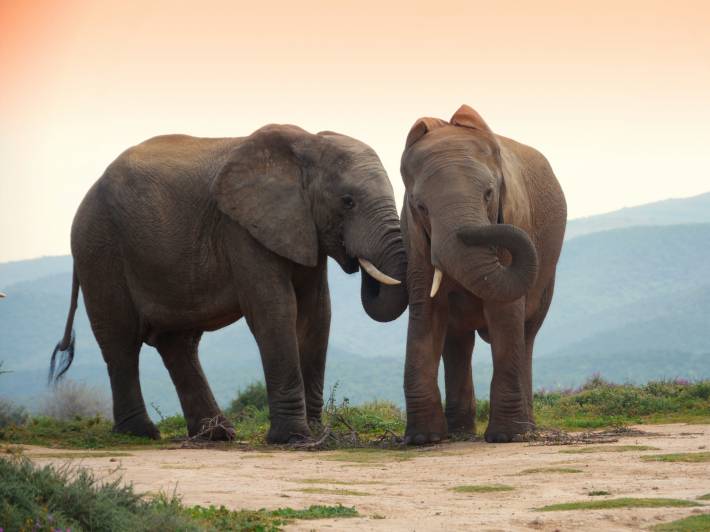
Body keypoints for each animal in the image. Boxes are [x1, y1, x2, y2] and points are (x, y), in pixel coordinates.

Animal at [50, 124, 408, 443]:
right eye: (348, 201)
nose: (357, 261)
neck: (308, 144)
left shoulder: (304, 229)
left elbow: (316, 315)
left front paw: (318, 434)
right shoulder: (242, 229)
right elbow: (275, 311)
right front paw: (294, 439)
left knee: (178, 343)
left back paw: (216, 434)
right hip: (99, 248)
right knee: (121, 340)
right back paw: (141, 433)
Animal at [399, 105, 566, 444]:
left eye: (489, 194)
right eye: (420, 207)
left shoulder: (516, 215)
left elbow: (505, 312)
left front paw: (506, 437)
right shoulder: (415, 240)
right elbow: (426, 310)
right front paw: (423, 439)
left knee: (527, 334)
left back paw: (525, 430)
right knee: (458, 340)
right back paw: (459, 432)